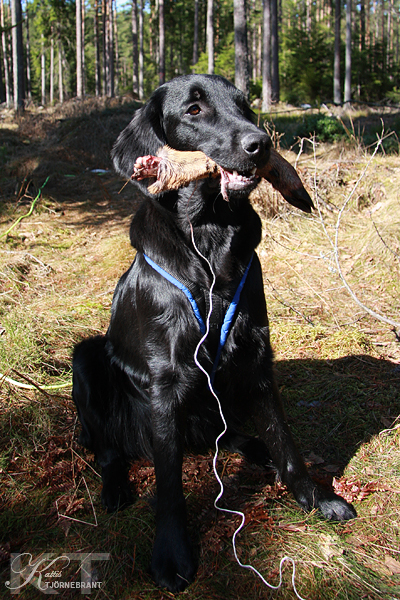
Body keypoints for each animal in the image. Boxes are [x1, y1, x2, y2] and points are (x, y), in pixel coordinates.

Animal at [73, 74, 358, 592]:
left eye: (245, 104)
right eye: (194, 110)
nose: (261, 144)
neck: (210, 235)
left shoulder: (257, 354)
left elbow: (285, 439)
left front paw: (314, 497)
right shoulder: (165, 378)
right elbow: (168, 480)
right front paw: (171, 553)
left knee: (223, 438)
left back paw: (253, 448)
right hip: (86, 358)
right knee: (108, 449)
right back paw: (117, 487)